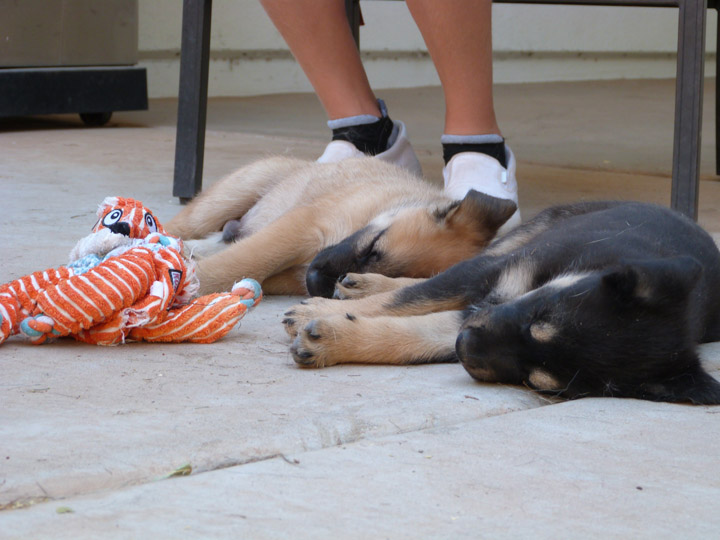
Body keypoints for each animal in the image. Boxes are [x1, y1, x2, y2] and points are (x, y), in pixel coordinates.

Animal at [286, 200, 720, 402]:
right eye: (538, 316)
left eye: (541, 382)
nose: (465, 346)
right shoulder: (492, 277)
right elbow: (406, 298)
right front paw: (321, 309)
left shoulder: (477, 318)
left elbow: (407, 335)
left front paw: (331, 338)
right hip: (521, 238)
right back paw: (363, 284)